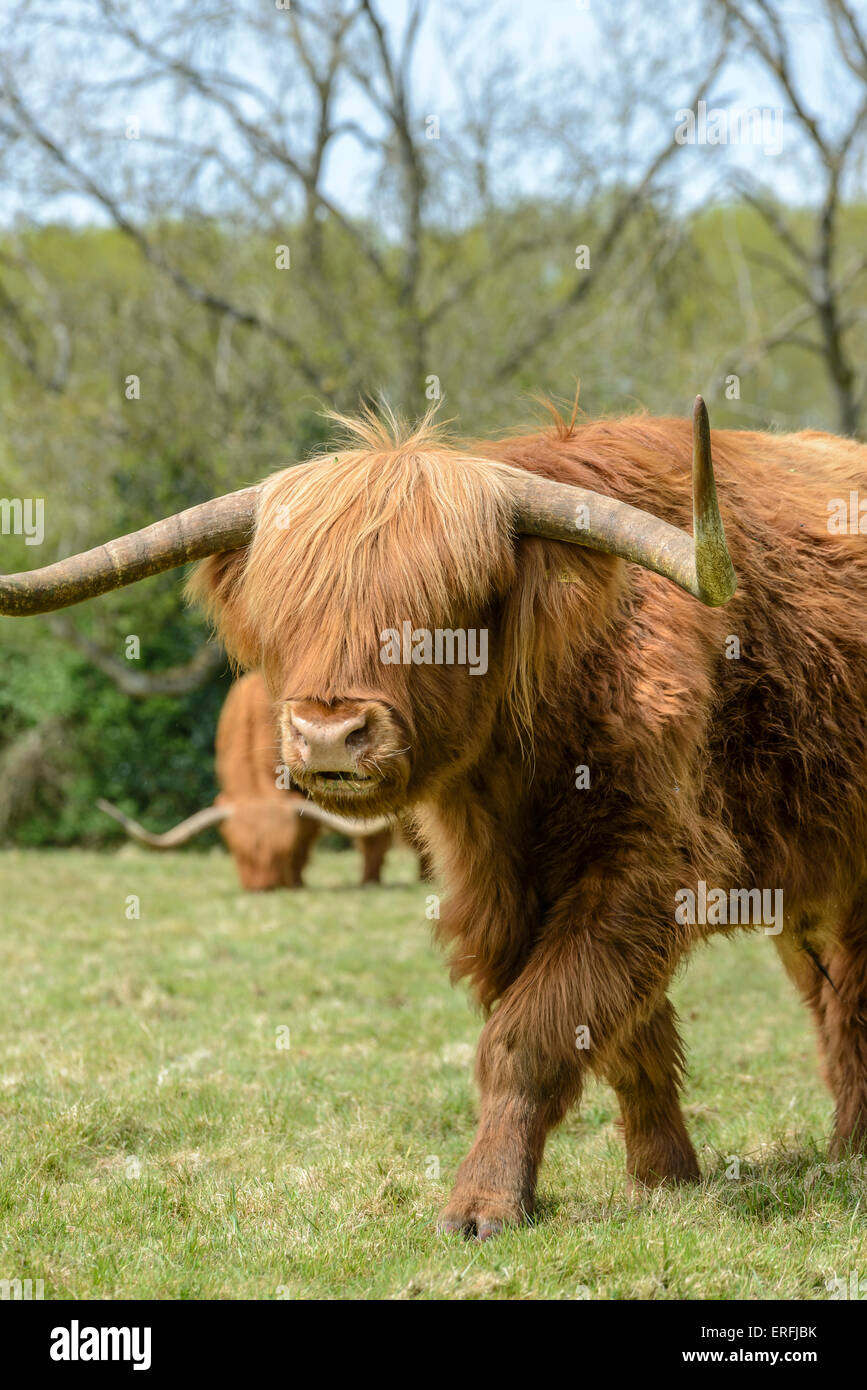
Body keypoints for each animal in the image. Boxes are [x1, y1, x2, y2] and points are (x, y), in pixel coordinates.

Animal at [6, 397, 867, 1245]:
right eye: (288, 612)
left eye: (438, 614)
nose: (328, 734)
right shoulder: (495, 890)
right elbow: (624, 1039)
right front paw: (664, 1180)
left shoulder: (651, 865)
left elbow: (531, 1032)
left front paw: (484, 1204)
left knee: (851, 1003)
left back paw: (849, 1157)